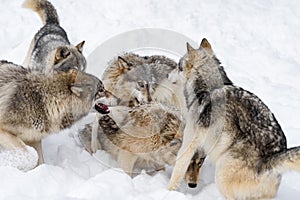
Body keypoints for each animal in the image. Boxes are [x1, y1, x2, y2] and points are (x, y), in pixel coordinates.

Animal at [168, 38, 300, 199]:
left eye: (178, 66)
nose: (168, 74)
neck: (209, 86)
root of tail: (271, 158)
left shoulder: (189, 141)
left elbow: (177, 171)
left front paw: (167, 192)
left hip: (221, 174)